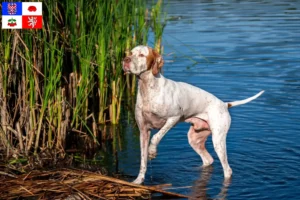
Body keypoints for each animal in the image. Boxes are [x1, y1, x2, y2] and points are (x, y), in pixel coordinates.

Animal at [123, 45, 264, 184]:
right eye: (130, 52)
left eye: (142, 55)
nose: (125, 60)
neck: (148, 87)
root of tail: (224, 104)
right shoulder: (143, 132)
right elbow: (143, 161)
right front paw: (138, 180)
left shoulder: (173, 118)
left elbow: (156, 137)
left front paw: (152, 151)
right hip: (194, 139)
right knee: (208, 160)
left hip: (218, 141)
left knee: (227, 169)